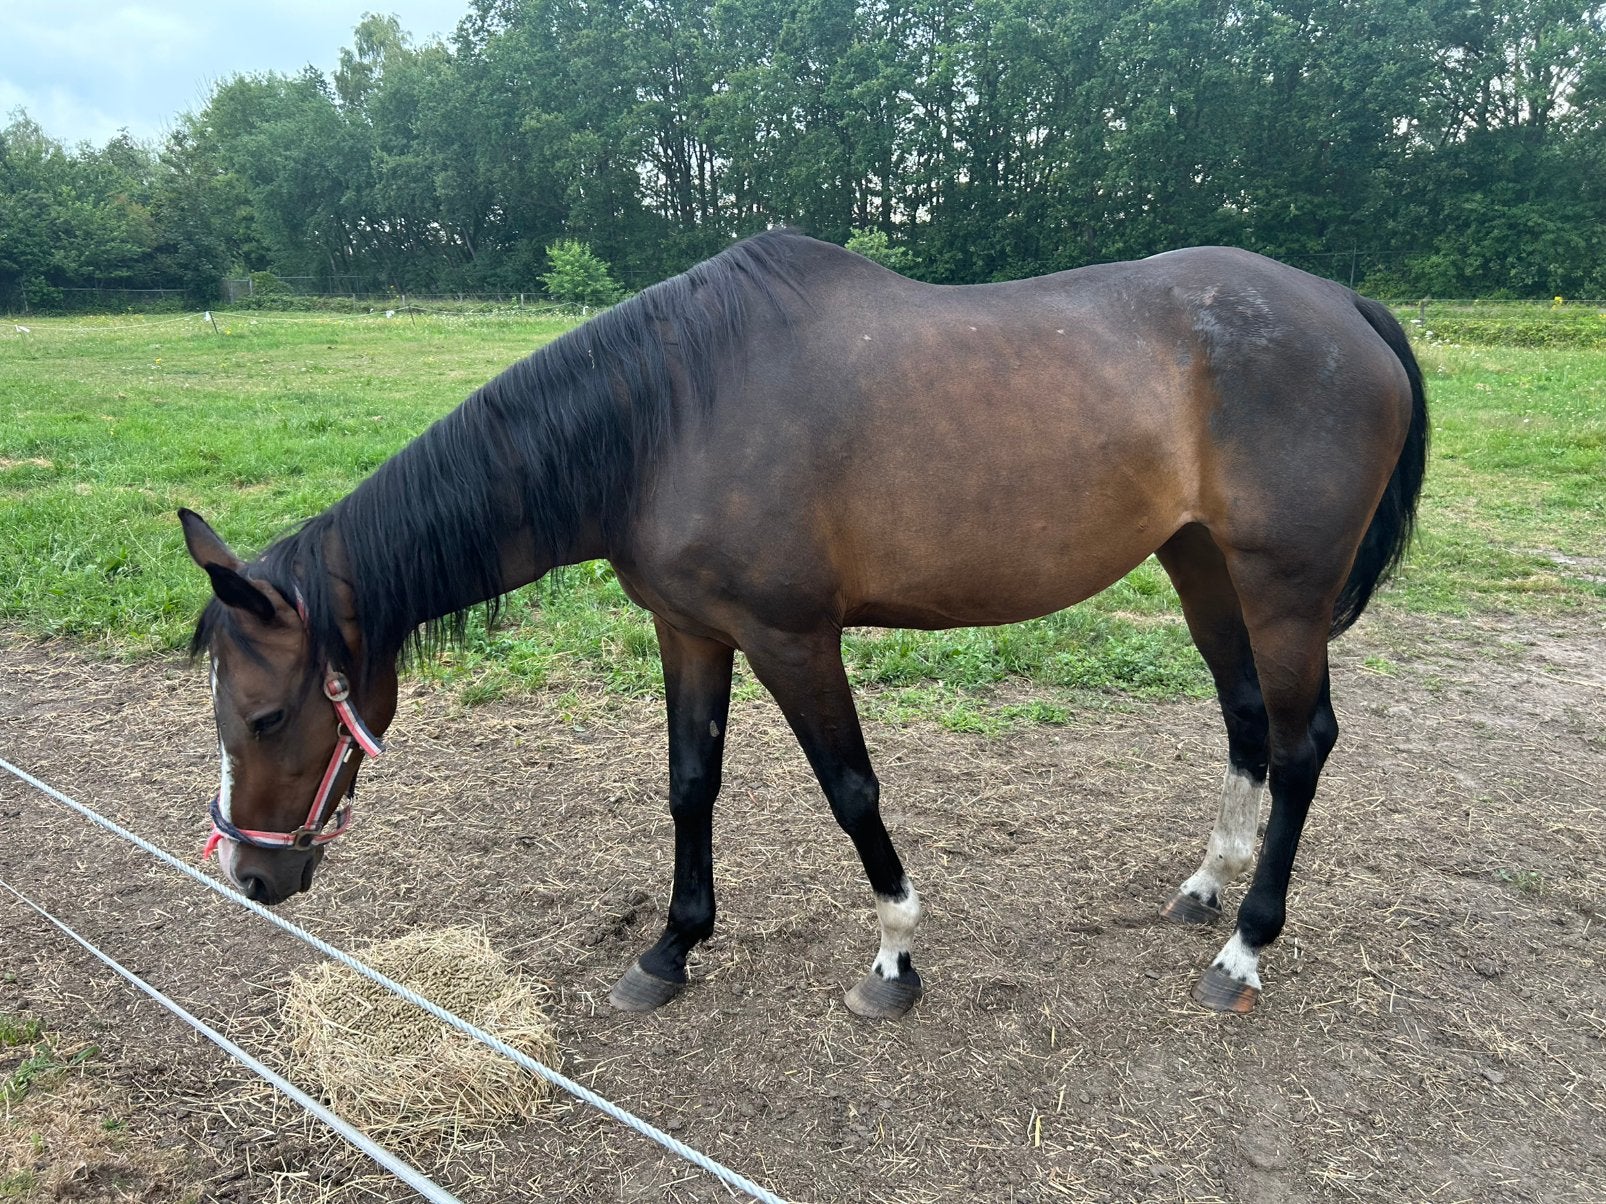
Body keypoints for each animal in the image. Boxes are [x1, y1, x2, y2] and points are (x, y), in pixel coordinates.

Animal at [182, 229, 1426, 1018]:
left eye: (268, 713)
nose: (250, 876)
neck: (668, 418)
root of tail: (1347, 308)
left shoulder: (792, 638)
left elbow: (850, 791)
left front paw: (894, 954)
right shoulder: (689, 632)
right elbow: (690, 784)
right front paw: (670, 949)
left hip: (1280, 589)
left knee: (1302, 744)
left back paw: (1244, 946)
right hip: (1203, 566)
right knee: (1246, 721)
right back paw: (1207, 885)